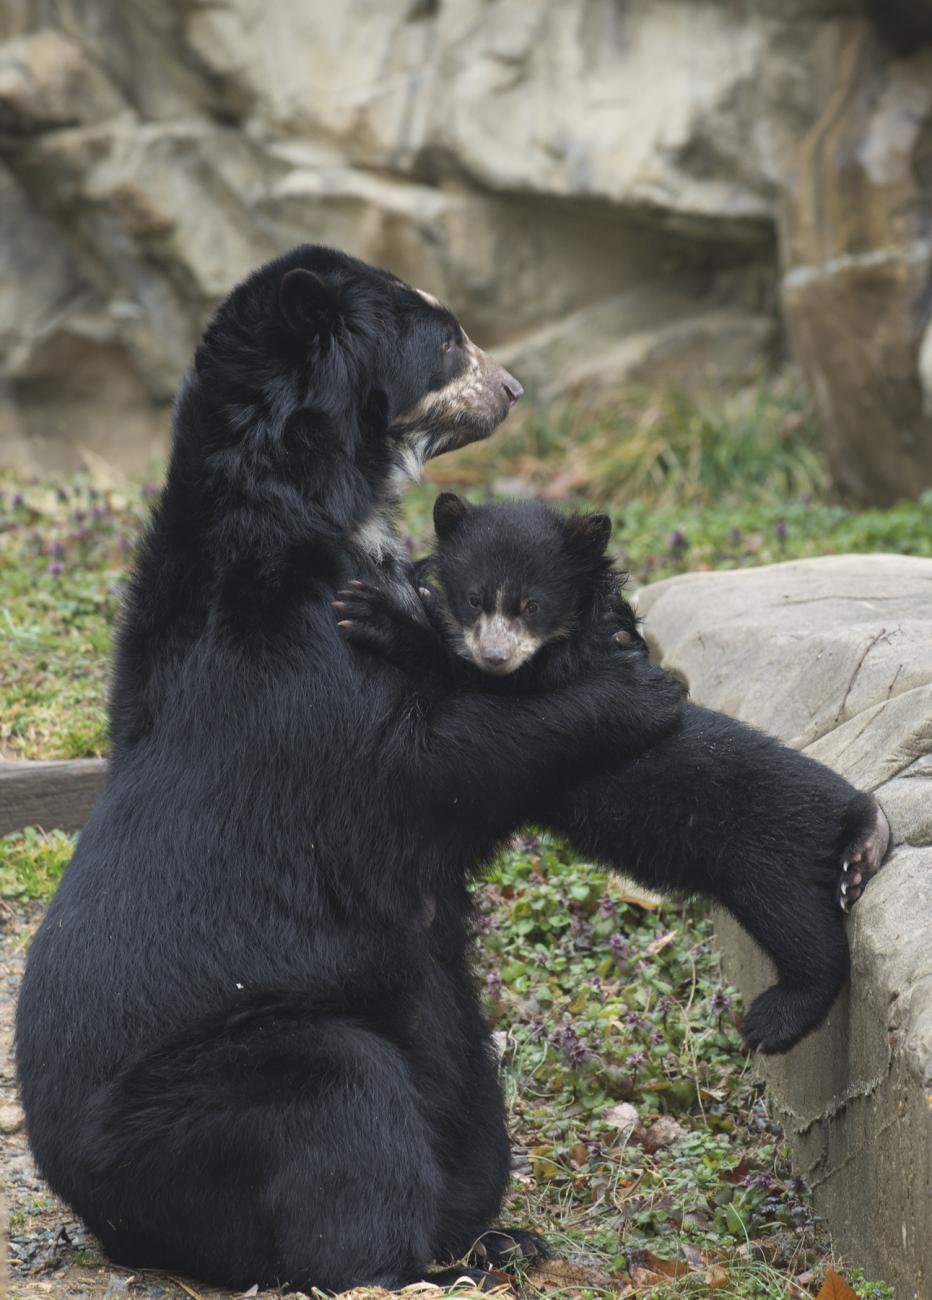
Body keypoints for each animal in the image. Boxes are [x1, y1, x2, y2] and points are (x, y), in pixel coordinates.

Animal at [14, 244, 681, 1289]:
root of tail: (99, 1214)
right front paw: (638, 685)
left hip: (426, 1017)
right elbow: (432, 764)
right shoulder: (298, 672)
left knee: (464, 1100)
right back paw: (416, 1262)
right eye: (447, 339)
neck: (312, 496)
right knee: (342, 1102)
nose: (512, 388)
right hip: (207, 1102)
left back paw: (492, 1236)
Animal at [337, 496, 889, 1055]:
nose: (495, 655)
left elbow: (475, 692)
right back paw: (863, 851)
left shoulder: (559, 670)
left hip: (766, 857)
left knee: (808, 939)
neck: (571, 629)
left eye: (531, 605)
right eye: (474, 599)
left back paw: (772, 1018)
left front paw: (380, 617)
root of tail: (842, 816)